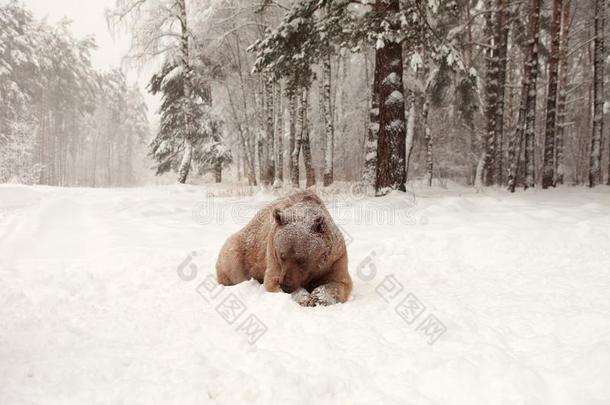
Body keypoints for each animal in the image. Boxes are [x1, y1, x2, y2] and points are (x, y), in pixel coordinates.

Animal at [216, 189, 352, 306]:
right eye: (282, 256)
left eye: (302, 260)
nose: (286, 286)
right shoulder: (272, 252)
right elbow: (272, 280)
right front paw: (303, 298)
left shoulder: (334, 258)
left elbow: (339, 282)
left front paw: (319, 297)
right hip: (241, 248)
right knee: (232, 264)